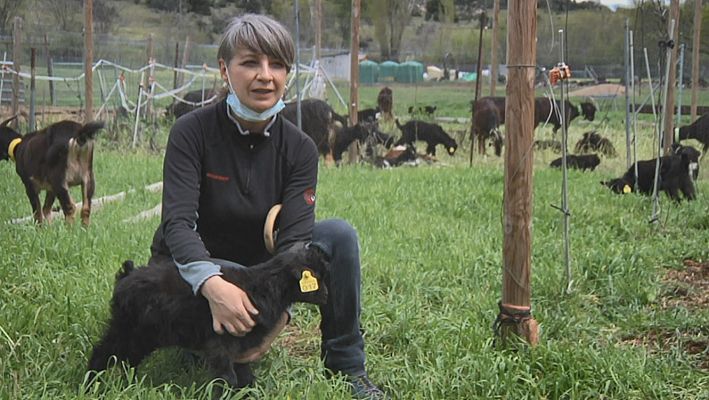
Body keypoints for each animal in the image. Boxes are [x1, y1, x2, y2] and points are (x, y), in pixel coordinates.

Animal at [88, 242, 330, 390]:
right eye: (316, 277)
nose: (327, 295)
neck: (261, 286)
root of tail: (126, 275)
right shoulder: (220, 344)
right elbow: (227, 378)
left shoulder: (239, 346)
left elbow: (243, 375)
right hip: (126, 328)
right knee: (102, 352)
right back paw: (90, 385)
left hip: (145, 335)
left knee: (128, 359)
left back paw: (129, 384)